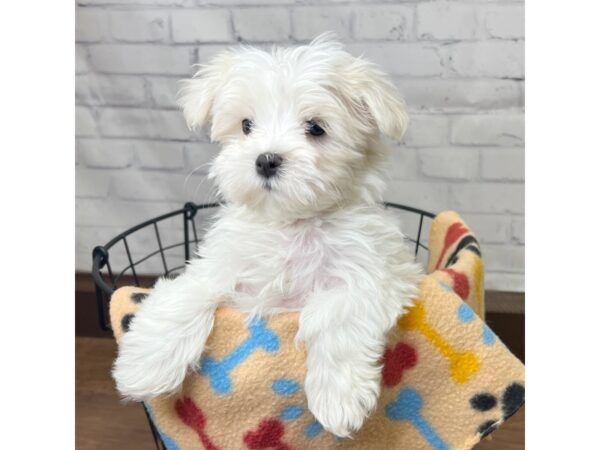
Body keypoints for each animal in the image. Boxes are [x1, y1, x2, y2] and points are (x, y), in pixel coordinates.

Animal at [112, 33, 422, 438]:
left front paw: (338, 398)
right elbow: (188, 293)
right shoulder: (222, 266)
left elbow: (338, 316)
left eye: (316, 128)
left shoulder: (374, 273)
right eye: (246, 125)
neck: (292, 223)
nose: (266, 159)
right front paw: (145, 364)